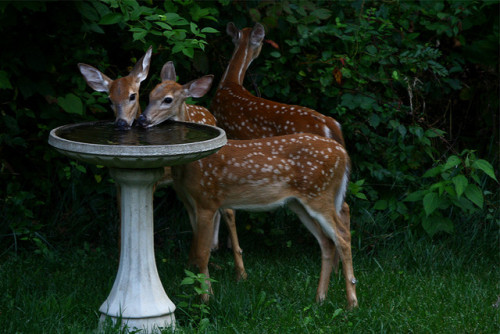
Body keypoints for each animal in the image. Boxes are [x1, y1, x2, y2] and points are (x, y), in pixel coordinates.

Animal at [141, 66, 360, 310]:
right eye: (149, 95)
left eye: (167, 99)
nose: (142, 118)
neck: (195, 165)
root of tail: (343, 154)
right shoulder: (190, 202)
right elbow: (197, 250)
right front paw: (200, 294)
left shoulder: (208, 200)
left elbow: (202, 253)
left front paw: (206, 299)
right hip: (299, 203)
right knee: (326, 242)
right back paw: (320, 298)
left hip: (319, 195)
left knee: (342, 237)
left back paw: (351, 303)